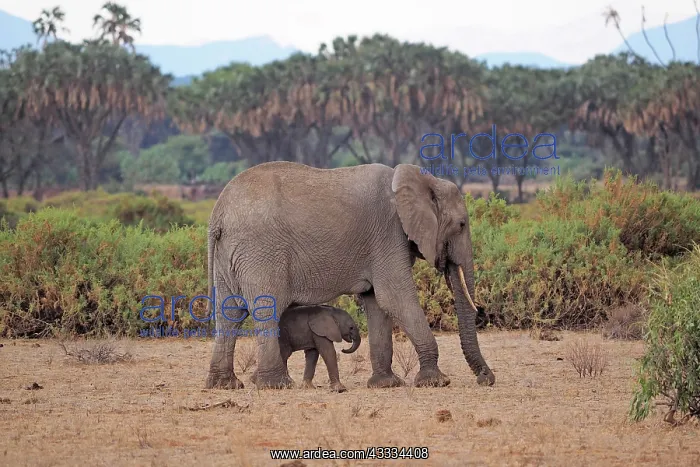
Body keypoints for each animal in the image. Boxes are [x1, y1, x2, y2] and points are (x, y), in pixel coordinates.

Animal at [204, 161, 495, 390]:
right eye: (461, 225)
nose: (486, 379)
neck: (421, 179)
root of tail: (218, 216)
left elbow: (377, 303)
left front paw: (385, 384)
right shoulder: (388, 235)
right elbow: (395, 298)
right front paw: (435, 381)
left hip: (230, 254)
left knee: (229, 313)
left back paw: (225, 385)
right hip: (261, 251)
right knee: (266, 309)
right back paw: (275, 385)